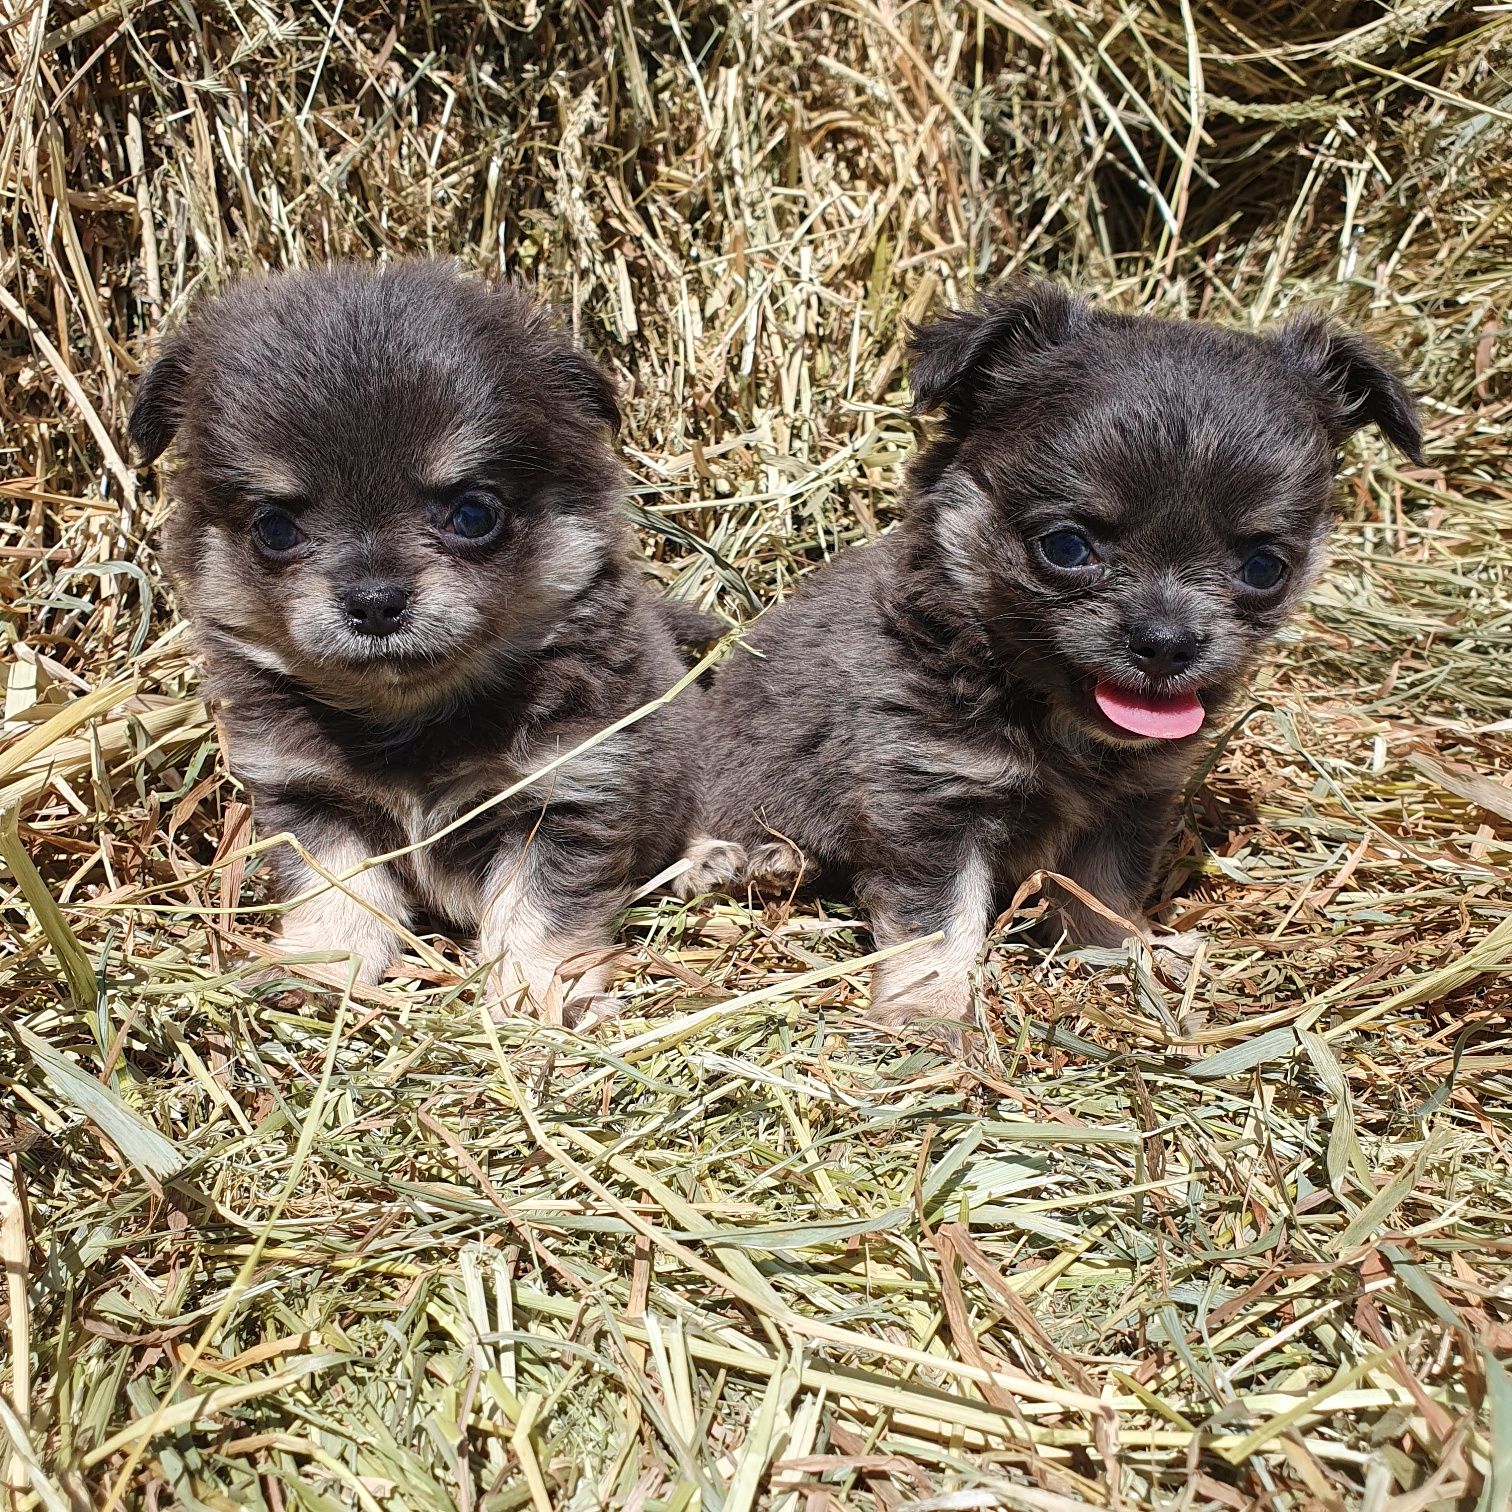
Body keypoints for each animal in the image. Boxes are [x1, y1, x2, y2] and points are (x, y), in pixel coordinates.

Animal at [130, 263, 707, 1016]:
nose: (376, 602)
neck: (410, 722)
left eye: (473, 514)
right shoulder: (308, 797)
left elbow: (537, 911)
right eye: (275, 528)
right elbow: (336, 891)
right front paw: (317, 966)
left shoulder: (569, 794)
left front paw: (535, 994)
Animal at [692, 282, 1421, 1034]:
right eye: (1067, 547)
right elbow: (941, 924)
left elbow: (1105, 894)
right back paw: (755, 861)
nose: (1167, 642)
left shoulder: (1130, 804)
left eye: (1263, 567)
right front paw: (929, 1015)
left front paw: (1130, 955)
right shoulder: (933, 797)